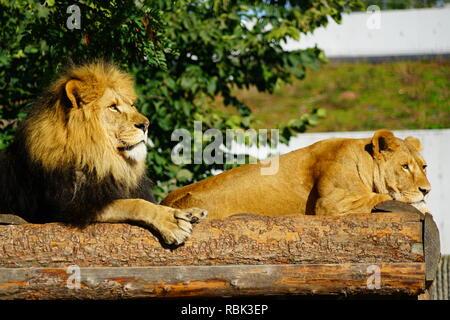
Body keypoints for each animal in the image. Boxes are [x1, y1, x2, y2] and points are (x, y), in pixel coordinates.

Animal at [0, 60, 207, 245]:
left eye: (131, 105)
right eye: (113, 107)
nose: (146, 125)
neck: (103, 159)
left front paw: (191, 212)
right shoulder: (70, 209)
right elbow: (133, 203)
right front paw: (173, 221)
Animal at [163, 129, 432, 218]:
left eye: (424, 166)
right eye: (405, 166)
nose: (427, 190)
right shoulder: (329, 205)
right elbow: (382, 197)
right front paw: (420, 205)